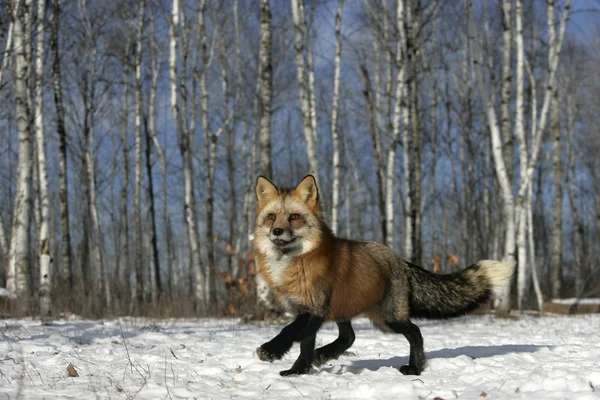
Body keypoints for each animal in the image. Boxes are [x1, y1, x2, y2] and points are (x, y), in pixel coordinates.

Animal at [253, 175, 516, 376]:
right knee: (349, 337)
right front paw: (298, 368)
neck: (294, 264)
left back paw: (414, 368)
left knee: (415, 332)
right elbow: (303, 341)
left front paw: (278, 355)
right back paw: (324, 355)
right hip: (351, 311)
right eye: (271, 217)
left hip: (388, 319)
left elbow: (292, 332)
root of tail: (398, 259)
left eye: (294, 217)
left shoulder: (315, 308)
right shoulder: (307, 309)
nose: (277, 231)